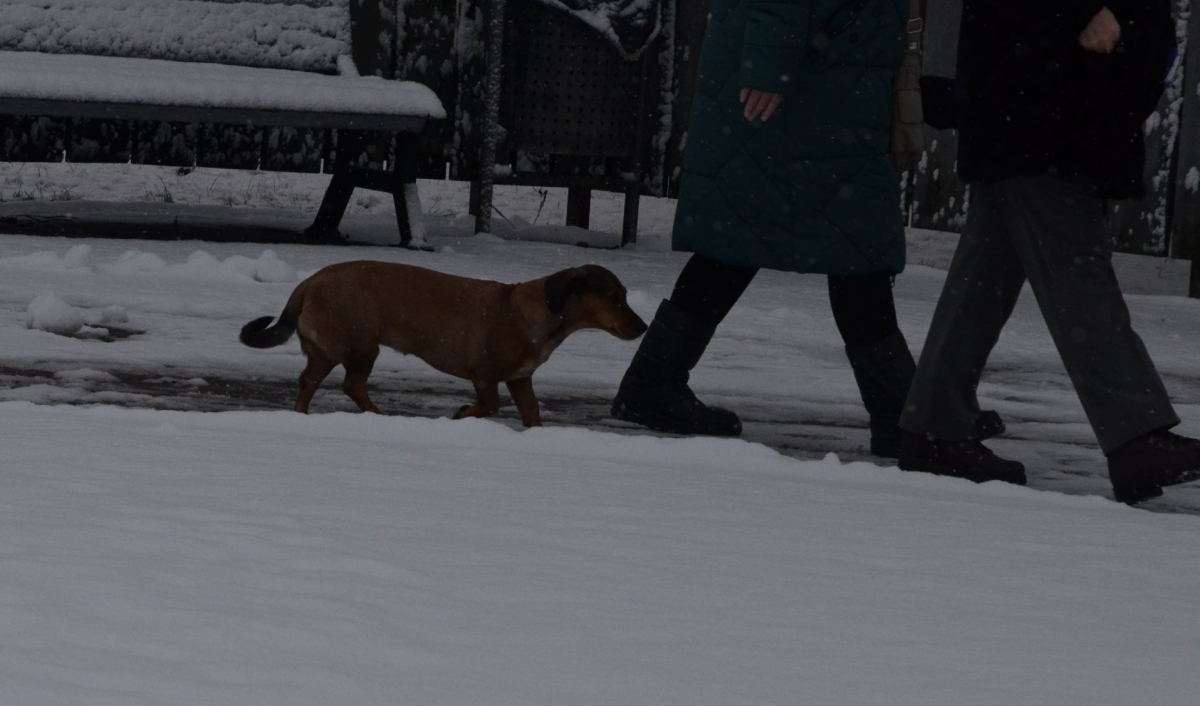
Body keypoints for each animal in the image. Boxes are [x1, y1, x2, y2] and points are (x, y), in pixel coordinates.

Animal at [241, 259, 648, 425]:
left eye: (625, 296)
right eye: (614, 298)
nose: (644, 327)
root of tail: (309, 283)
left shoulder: (521, 379)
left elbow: (531, 413)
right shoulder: (484, 375)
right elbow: (489, 404)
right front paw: (462, 414)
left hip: (328, 349)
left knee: (309, 381)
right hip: (359, 346)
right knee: (349, 384)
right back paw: (375, 415)